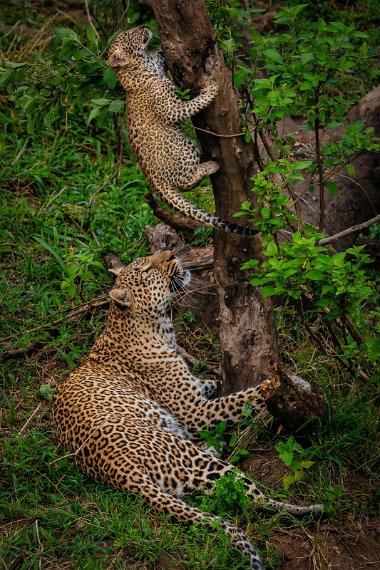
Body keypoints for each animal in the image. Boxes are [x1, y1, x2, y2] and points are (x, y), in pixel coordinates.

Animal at [51, 252, 324, 568]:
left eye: (149, 260)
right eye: (147, 270)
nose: (170, 254)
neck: (157, 328)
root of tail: (117, 470)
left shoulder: (197, 390)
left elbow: (219, 384)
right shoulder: (196, 411)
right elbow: (244, 397)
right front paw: (296, 379)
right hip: (191, 459)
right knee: (253, 500)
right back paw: (310, 508)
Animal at [107, 25, 258, 234]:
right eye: (129, 34)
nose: (144, 27)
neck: (142, 65)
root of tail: (155, 182)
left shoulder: (157, 62)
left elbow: (163, 54)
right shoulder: (171, 109)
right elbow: (191, 106)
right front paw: (211, 88)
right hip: (184, 147)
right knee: (186, 182)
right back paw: (211, 165)